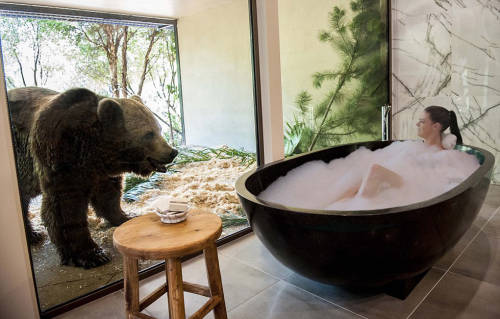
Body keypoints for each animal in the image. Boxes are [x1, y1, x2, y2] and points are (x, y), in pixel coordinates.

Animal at [8, 87, 178, 270]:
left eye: (159, 128)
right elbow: (65, 209)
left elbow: (108, 194)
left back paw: (33, 235)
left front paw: (126, 216)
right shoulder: (61, 158)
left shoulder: (100, 171)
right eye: (148, 134)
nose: (172, 152)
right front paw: (93, 255)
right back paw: (34, 234)